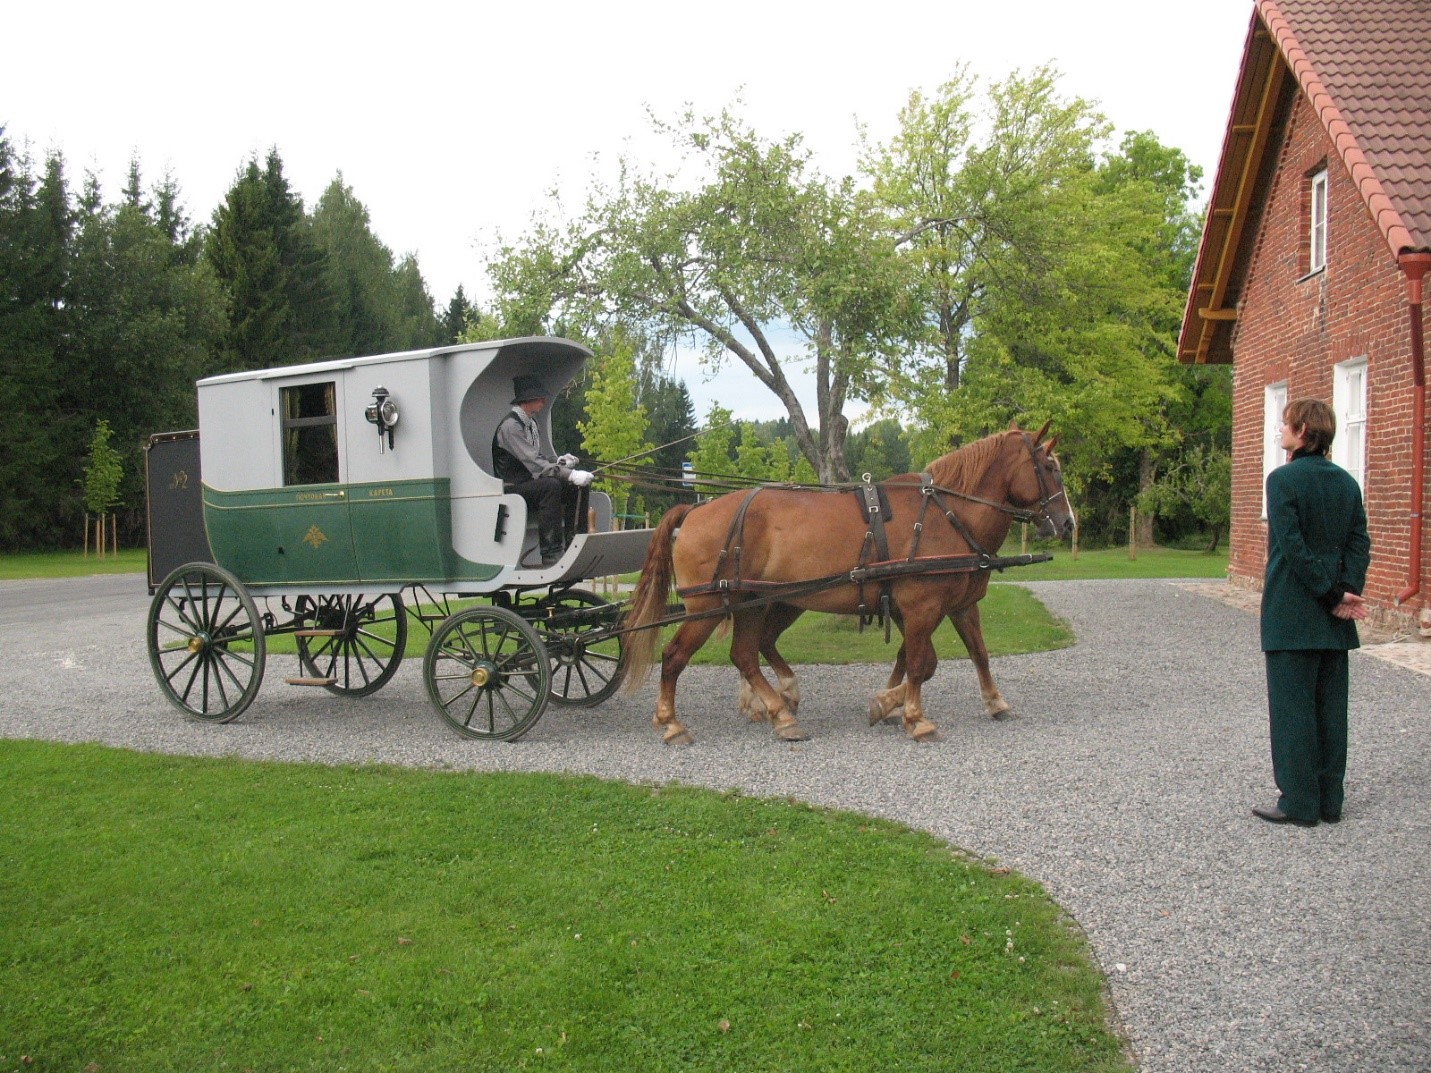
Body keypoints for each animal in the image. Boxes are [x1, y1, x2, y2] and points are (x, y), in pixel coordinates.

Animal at [623, 423, 1076, 743]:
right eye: (1049, 468)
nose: (1068, 523)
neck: (947, 514)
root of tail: (696, 511)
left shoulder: (958, 604)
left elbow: (972, 654)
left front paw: (991, 702)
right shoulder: (921, 607)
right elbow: (920, 663)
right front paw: (913, 717)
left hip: (755, 602)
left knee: (746, 654)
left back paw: (780, 711)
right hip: (709, 606)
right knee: (675, 657)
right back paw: (672, 723)